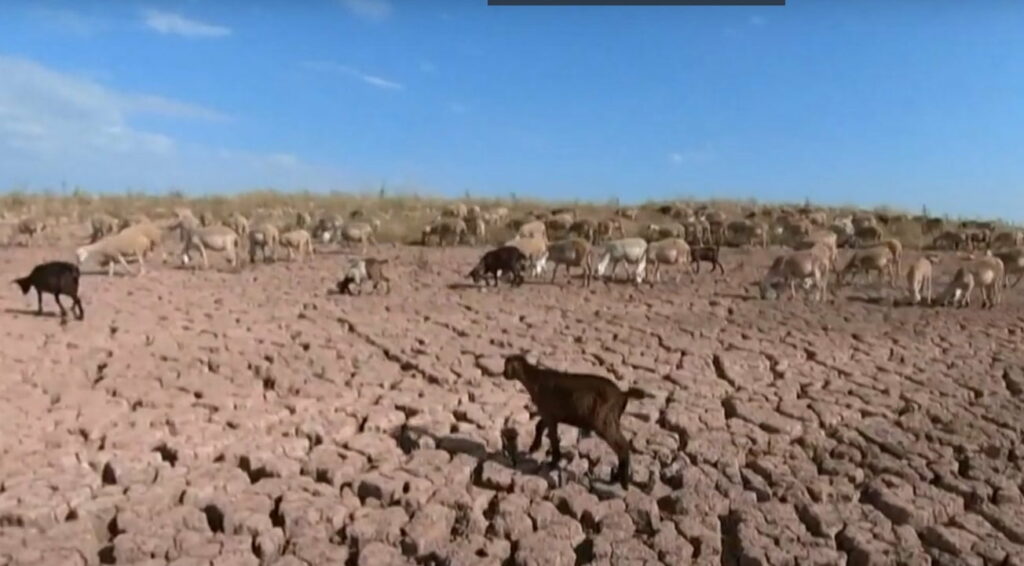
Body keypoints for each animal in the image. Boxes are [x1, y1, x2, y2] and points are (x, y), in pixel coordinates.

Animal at [501, 350, 643, 487]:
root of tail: (622, 394)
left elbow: (553, 438)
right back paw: (616, 478)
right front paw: (534, 447)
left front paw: (553, 462)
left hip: (603, 420)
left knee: (622, 446)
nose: (503, 374)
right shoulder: (550, 415)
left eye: (506, 365)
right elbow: (539, 426)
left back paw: (623, 482)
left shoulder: (549, 413)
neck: (536, 379)